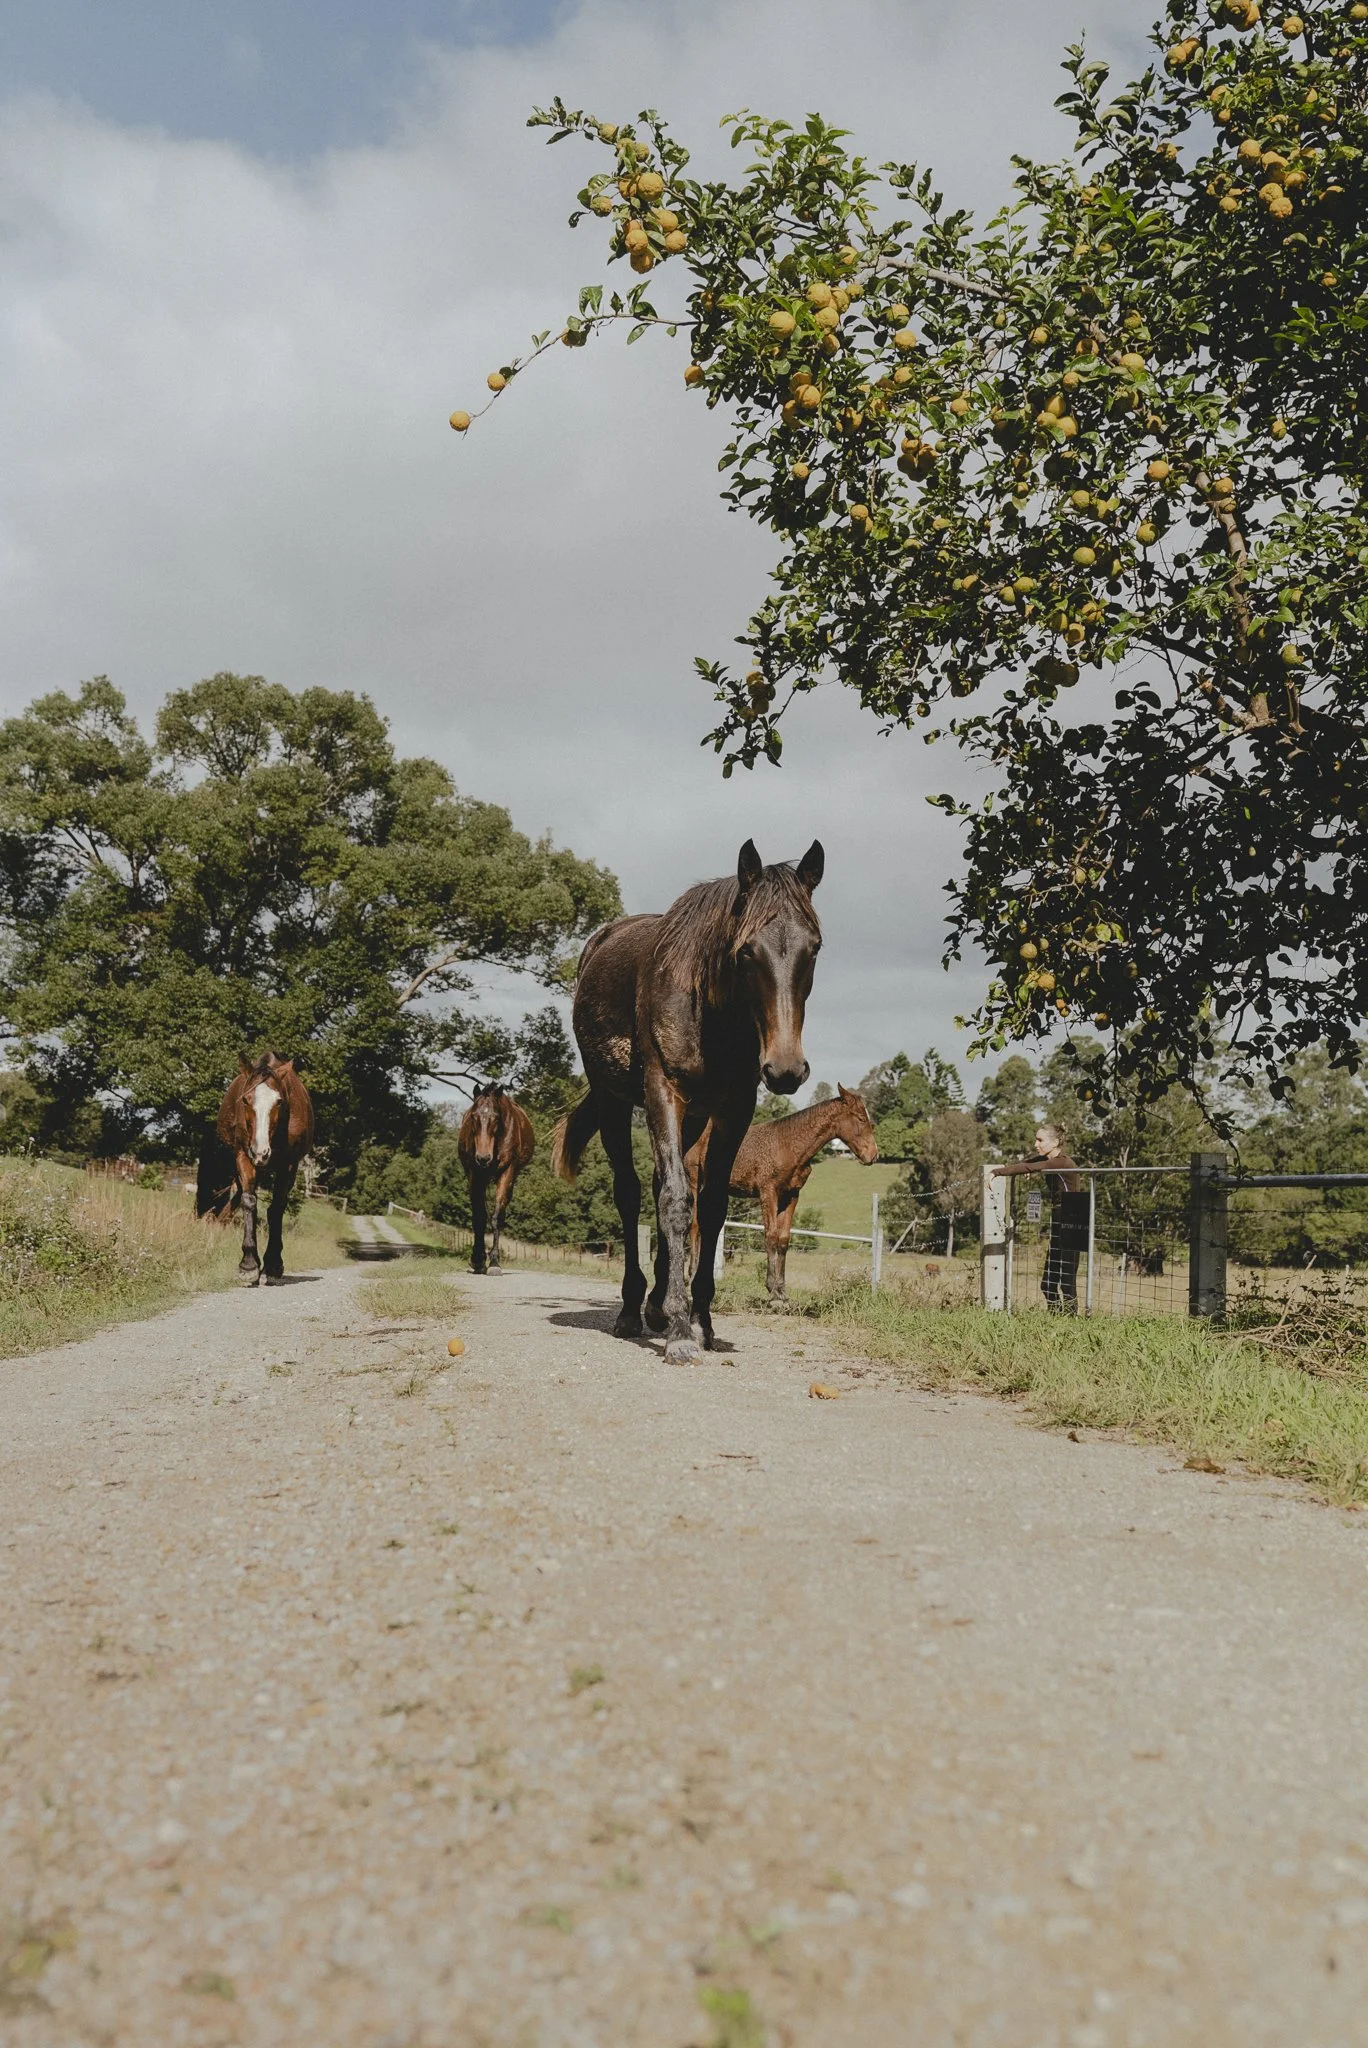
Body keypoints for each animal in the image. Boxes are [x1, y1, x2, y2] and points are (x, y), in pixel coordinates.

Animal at [196, 1053, 314, 1286]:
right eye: (245, 1099)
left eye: (279, 1101)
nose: (261, 1152)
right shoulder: (243, 1156)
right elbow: (249, 1201)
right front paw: (249, 1264)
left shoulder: (288, 1164)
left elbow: (276, 1209)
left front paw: (273, 1265)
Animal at [458, 1084, 536, 1274]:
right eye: (474, 1116)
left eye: (496, 1117)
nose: (483, 1158)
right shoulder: (476, 1174)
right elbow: (479, 1217)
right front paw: (478, 1259)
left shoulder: (507, 1172)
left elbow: (496, 1217)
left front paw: (494, 1262)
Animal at [552, 838, 824, 1364]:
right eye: (747, 950)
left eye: (814, 947)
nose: (785, 1069)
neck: (712, 1014)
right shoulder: (663, 1093)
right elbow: (676, 1201)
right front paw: (680, 1329)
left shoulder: (733, 1109)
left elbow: (710, 1209)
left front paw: (700, 1321)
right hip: (614, 1102)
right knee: (632, 1193)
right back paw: (633, 1309)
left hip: (693, 1120)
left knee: (662, 1185)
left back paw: (655, 1305)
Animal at [687, 1084, 878, 1300]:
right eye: (861, 1118)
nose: (873, 1155)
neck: (788, 1145)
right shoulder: (768, 1192)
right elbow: (771, 1236)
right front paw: (772, 1288)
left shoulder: (791, 1195)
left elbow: (784, 1239)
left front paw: (782, 1290)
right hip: (694, 1184)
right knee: (695, 1227)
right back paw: (691, 1278)